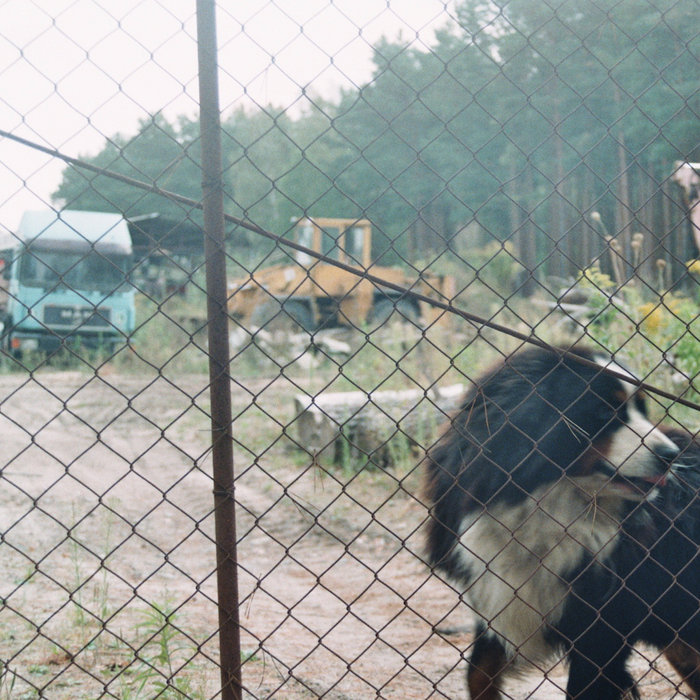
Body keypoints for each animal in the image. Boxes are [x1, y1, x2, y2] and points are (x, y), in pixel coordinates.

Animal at [423, 345, 685, 699]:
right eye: (604, 413)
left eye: (642, 411)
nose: (671, 455)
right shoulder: (497, 594)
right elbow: (478, 674)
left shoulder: (602, 629)